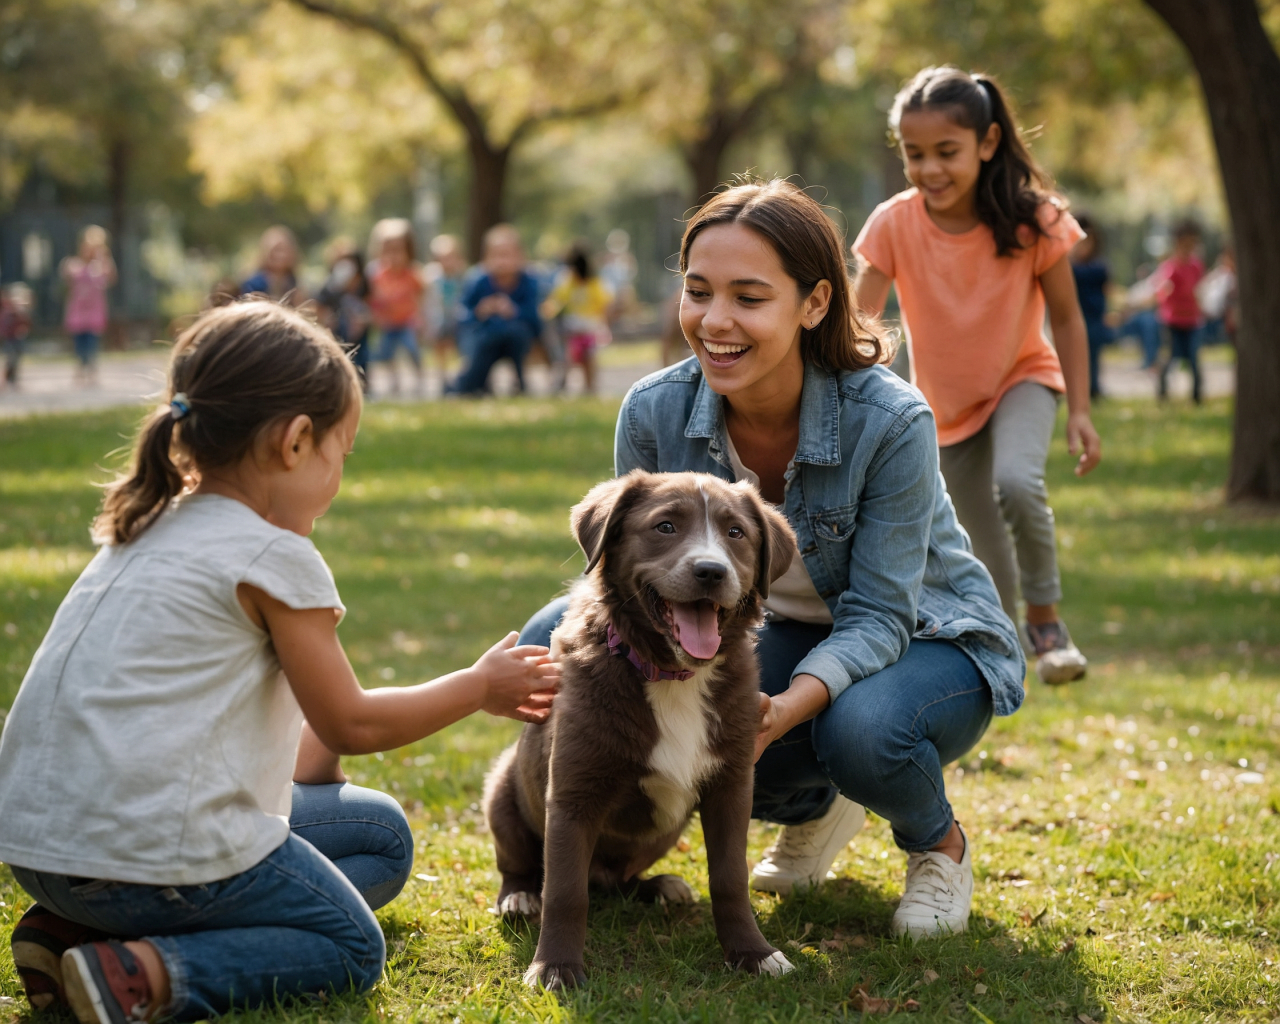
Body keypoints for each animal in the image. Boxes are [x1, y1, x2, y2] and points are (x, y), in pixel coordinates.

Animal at [481, 468, 798, 988]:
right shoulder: (572, 795)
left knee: (620, 882)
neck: (672, 675)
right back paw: (519, 897)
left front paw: (754, 953)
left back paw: (658, 887)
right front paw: (555, 969)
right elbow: (564, 891)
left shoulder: (732, 786)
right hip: (501, 792)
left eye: (736, 533)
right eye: (665, 526)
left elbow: (731, 877)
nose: (711, 572)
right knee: (526, 866)